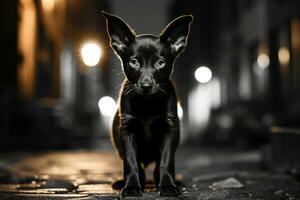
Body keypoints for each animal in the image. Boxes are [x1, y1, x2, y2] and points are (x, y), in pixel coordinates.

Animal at [102, 11, 192, 197]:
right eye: (134, 62)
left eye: (160, 63)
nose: (146, 85)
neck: (147, 104)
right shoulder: (127, 130)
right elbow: (131, 162)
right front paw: (131, 187)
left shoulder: (169, 129)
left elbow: (165, 161)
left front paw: (168, 186)